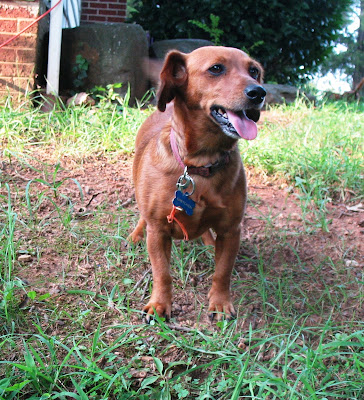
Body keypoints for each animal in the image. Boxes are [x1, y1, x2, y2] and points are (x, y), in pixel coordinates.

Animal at [130, 47, 264, 322]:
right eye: (216, 69)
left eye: (254, 71)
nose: (259, 92)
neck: (200, 165)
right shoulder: (158, 231)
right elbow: (162, 273)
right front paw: (159, 304)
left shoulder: (231, 230)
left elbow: (222, 272)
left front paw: (220, 303)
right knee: (141, 216)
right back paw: (137, 234)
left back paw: (208, 242)